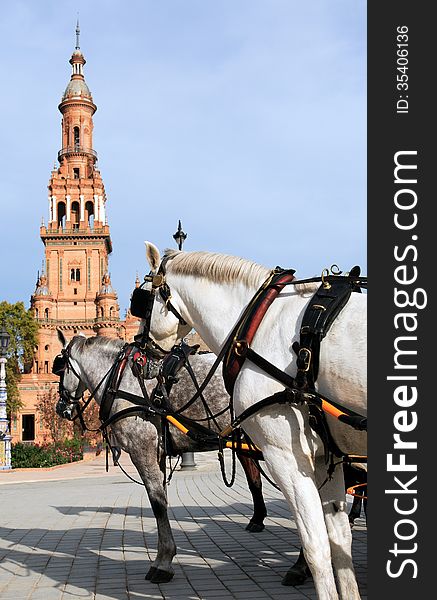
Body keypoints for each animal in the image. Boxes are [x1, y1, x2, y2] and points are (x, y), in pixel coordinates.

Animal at [141, 241, 366, 596]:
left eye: (144, 300)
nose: (141, 348)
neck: (259, 321)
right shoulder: (326, 458)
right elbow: (340, 543)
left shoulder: (287, 458)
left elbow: (316, 546)